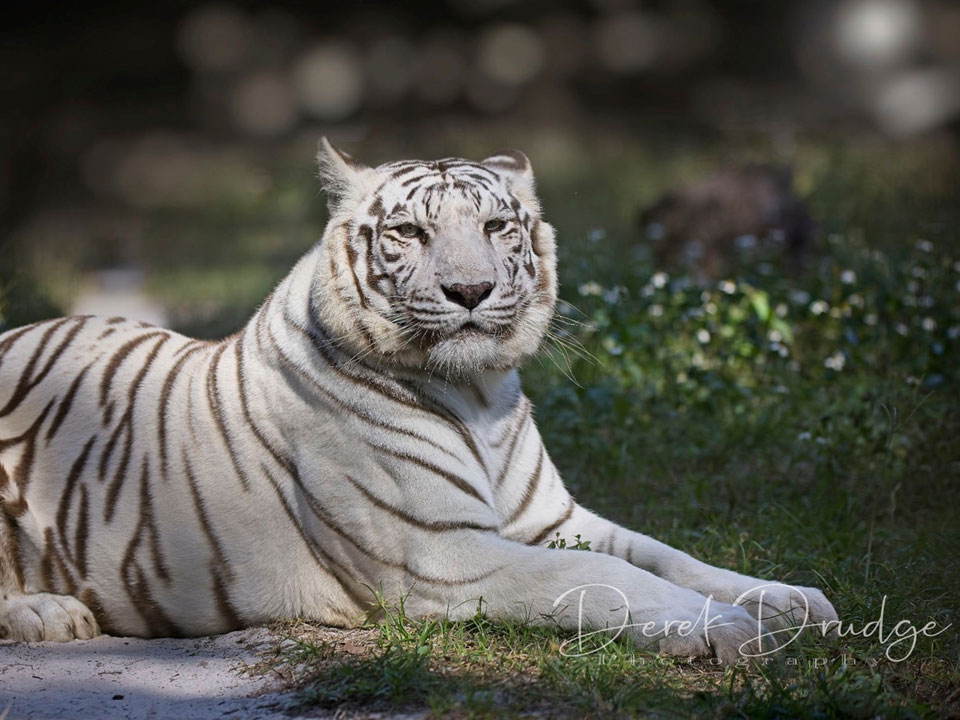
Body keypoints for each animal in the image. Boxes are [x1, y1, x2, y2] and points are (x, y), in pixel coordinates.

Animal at [0, 140, 838, 661]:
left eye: (497, 226)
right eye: (406, 232)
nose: (470, 290)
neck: (480, 395)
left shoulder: (553, 520)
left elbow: (669, 554)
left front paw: (790, 599)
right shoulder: (444, 557)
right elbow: (608, 578)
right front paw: (724, 629)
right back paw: (50, 613)